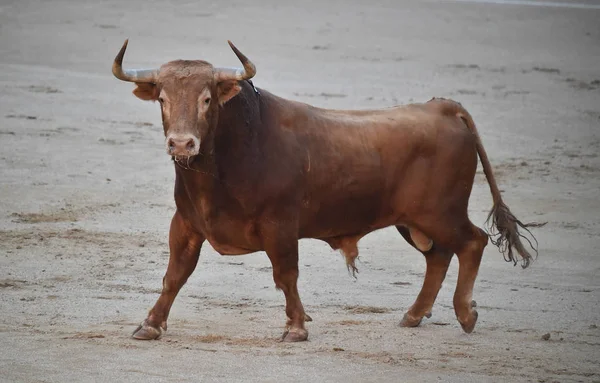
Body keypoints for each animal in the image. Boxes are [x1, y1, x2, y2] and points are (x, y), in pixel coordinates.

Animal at [111, 40, 540, 344]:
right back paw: (414, 315)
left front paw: (296, 328)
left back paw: (465, 315)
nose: (181, 144)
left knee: (472, 242)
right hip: (413, 220)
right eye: (162, 99)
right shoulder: (185, 223)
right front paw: (150, 324)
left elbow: (286, 274)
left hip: (441, 213)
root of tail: (444, 108)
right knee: (438, 256)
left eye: (206, 99)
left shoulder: (280, 224)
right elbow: (175, 274)